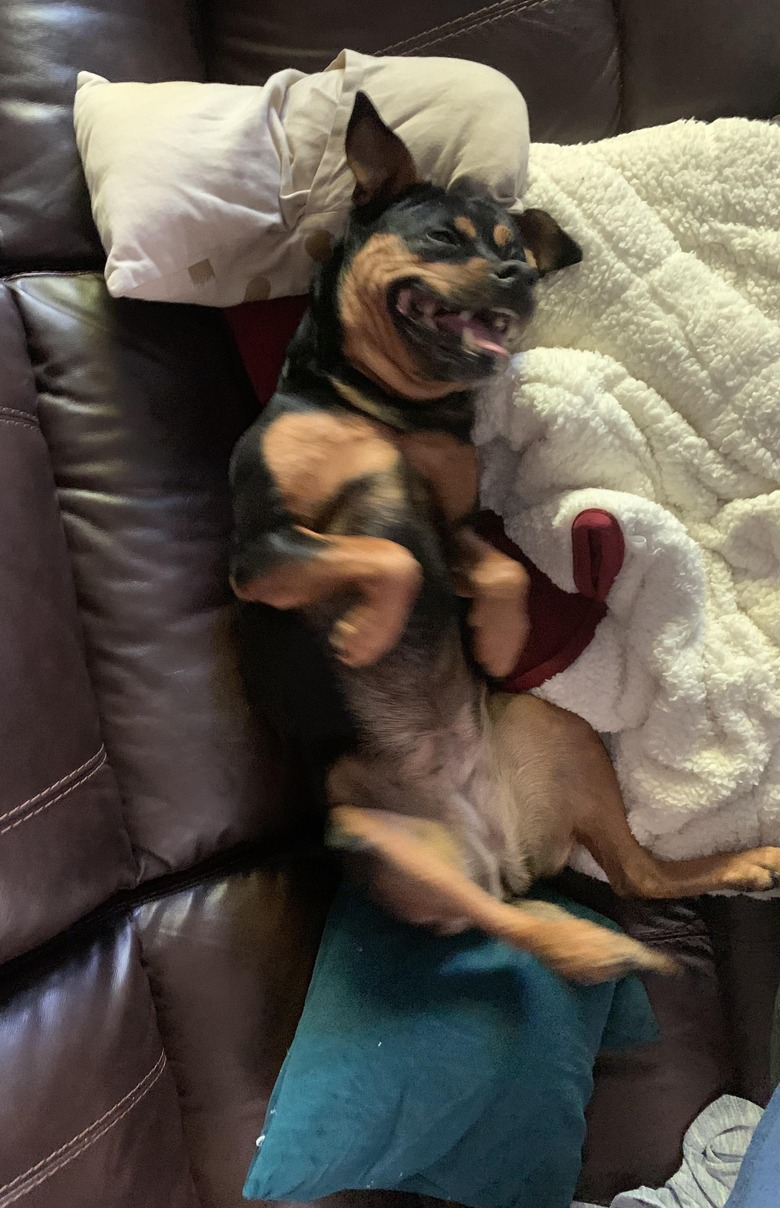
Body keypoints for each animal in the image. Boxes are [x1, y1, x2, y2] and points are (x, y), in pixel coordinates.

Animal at [230, 91, 780, 980]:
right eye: (442, 238)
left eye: (514, 250)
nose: (520, 279)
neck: (390, 409)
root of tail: (500, 849)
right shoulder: (263, 549)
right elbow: (389, 555)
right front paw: (363, 634)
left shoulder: (452, 524)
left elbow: (498, 570)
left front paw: (495, 639)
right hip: (366, 830)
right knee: (507, 920)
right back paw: (589, 943)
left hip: (558, 731)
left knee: (634, 874)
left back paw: (722, 875)